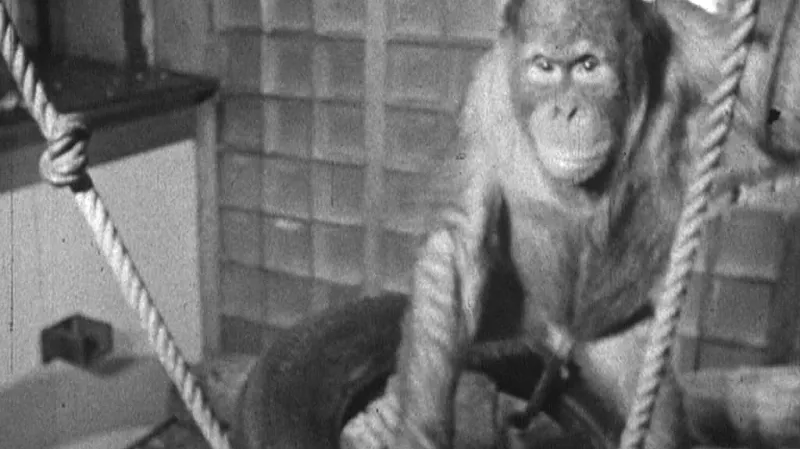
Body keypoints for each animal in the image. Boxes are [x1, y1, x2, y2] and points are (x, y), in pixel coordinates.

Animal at [386, 0, 715, 448]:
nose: (566, 110)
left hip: (612, 335)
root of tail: (559, 339)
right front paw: (419, 430)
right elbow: (456, 248)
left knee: (659, 418)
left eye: (587, 66)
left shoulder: (701, 57)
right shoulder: (482, 101)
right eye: (544, 66)